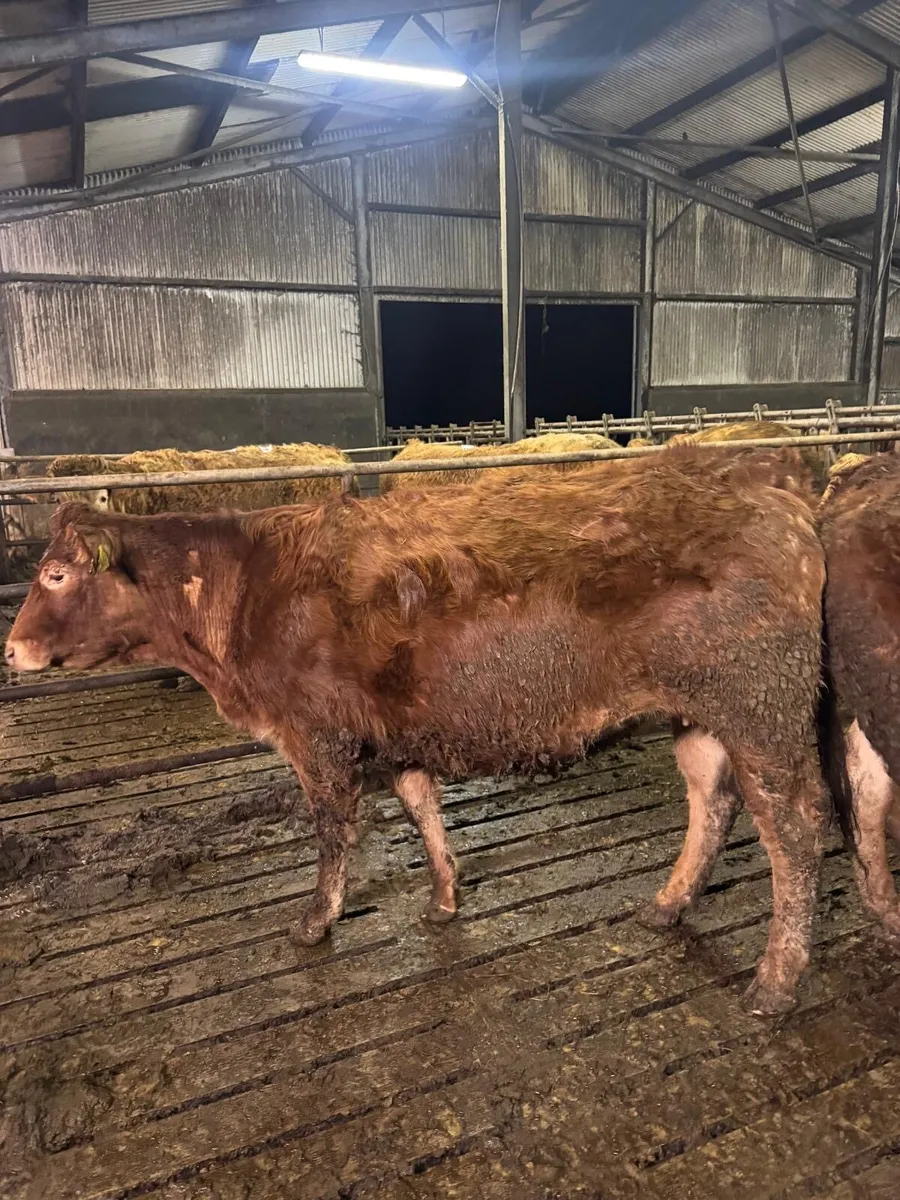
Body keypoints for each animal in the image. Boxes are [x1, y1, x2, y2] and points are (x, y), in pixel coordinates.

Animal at [5, 446, 828, 1015]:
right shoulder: (396, 733)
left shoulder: (317, 739)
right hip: (701, 715)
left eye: (55, 576)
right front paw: (444, 899)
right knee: (711, 802)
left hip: (762, 710)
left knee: (792, 831)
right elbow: (422, 809)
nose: (11, 650)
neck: (246, 587)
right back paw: (667, 906)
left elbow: (332, 832)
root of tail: (772, 480)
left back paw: (776, 979)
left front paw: (316, 922)